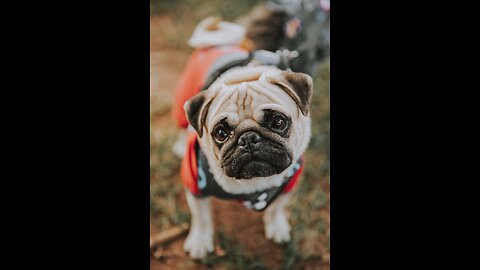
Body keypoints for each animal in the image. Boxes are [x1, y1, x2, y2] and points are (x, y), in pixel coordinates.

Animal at [180, 64, 312, 258]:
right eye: (221, 133)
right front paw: (200, 242)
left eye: (278, 122)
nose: (248, 138)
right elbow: (201, 217)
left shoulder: (289, 183)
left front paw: (277, 227)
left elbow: (277, 208)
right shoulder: (196, 183)